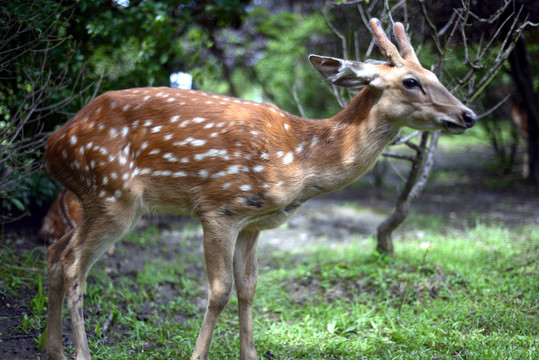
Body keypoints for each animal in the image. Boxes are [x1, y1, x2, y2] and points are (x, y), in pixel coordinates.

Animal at [44, 19, 476, 360]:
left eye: (437, 76)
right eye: (411, 81)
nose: (467, 114)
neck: (299, 161)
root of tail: (53, 144)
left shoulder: (253, 222)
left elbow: (249, 288)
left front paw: (249, 354)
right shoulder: (218, 207)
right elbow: (219, 291)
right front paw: (198, 355)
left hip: (92, 200)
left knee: (55, 254)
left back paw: (55, 350)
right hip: (111, 193)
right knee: (73, 264)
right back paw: (80, 353)